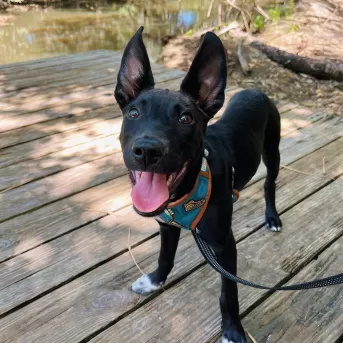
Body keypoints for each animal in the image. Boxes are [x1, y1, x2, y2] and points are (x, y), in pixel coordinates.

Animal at [115, 27, 282, 343]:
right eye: (133, 113)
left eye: (186, 118)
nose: (147, 151)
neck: (186, 194)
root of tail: (255, 90)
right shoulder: (166, 225)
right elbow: (165, 257)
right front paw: (155, 281)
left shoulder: (224, 245)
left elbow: (229, 292)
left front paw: (232, 330)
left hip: (273, 151)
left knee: (269, 186)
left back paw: (272, 217)